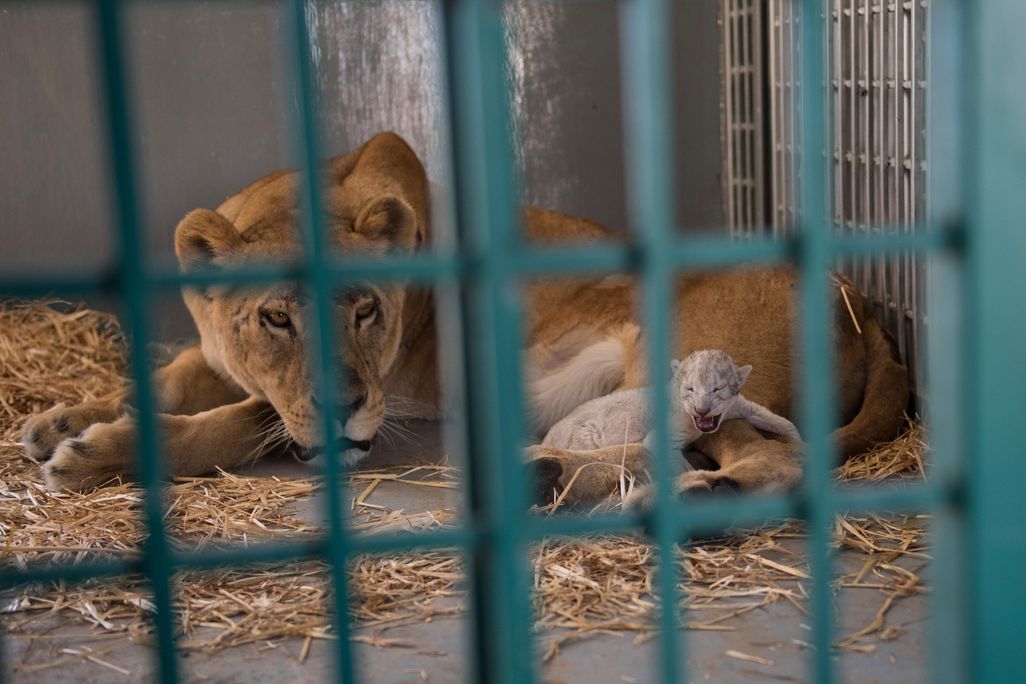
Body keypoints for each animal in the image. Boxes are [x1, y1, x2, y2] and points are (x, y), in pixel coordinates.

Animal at [21, 132, 909, 502]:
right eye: (274, 318)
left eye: (368, 311)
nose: (346, 406)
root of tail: (860, 297)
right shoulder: (215, 356)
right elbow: (170, 380)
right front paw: (61, 418)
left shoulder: (390, 414)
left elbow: (241, 421)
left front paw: (94, 454)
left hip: (695, 372)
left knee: (765, 461)